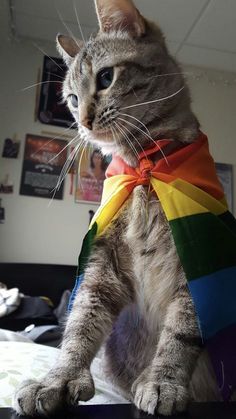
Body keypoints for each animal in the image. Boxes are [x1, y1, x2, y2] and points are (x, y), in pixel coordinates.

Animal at [13, 0, 225, 416]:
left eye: (106, 77)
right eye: (72, 99)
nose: (82, 121)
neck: (144, 168)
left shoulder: (196, 260)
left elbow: (180, 332)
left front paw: (163, 381)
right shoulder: (101, 262)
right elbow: (80, 324)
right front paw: (57, 380)